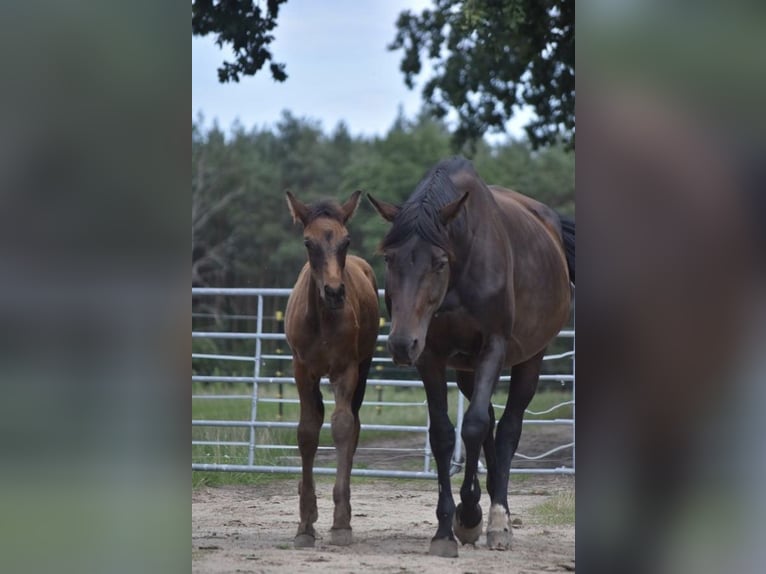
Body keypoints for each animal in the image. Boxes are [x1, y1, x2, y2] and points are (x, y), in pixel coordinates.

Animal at [283, 190, 380, 548]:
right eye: (308, 242)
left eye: (346, 241)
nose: (335, 292)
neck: (321, 319)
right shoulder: (301, 371)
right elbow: (307, 431)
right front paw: (305, 524)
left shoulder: (346, 370)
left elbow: (342, 427)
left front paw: (340, 524)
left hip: (363, 369)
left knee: (354, 426)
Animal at [367, 156, 575, 557]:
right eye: (390, 258)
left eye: (438, 262)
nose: (400, 344)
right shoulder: (430, 356)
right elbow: (444, 435)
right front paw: (448, 528)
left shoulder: (493, 346)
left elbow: (475, 426)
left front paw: (470, 515)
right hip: (465, 369)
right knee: (492, 424)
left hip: (529, 358)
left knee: (507, 429)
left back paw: (498, 520)